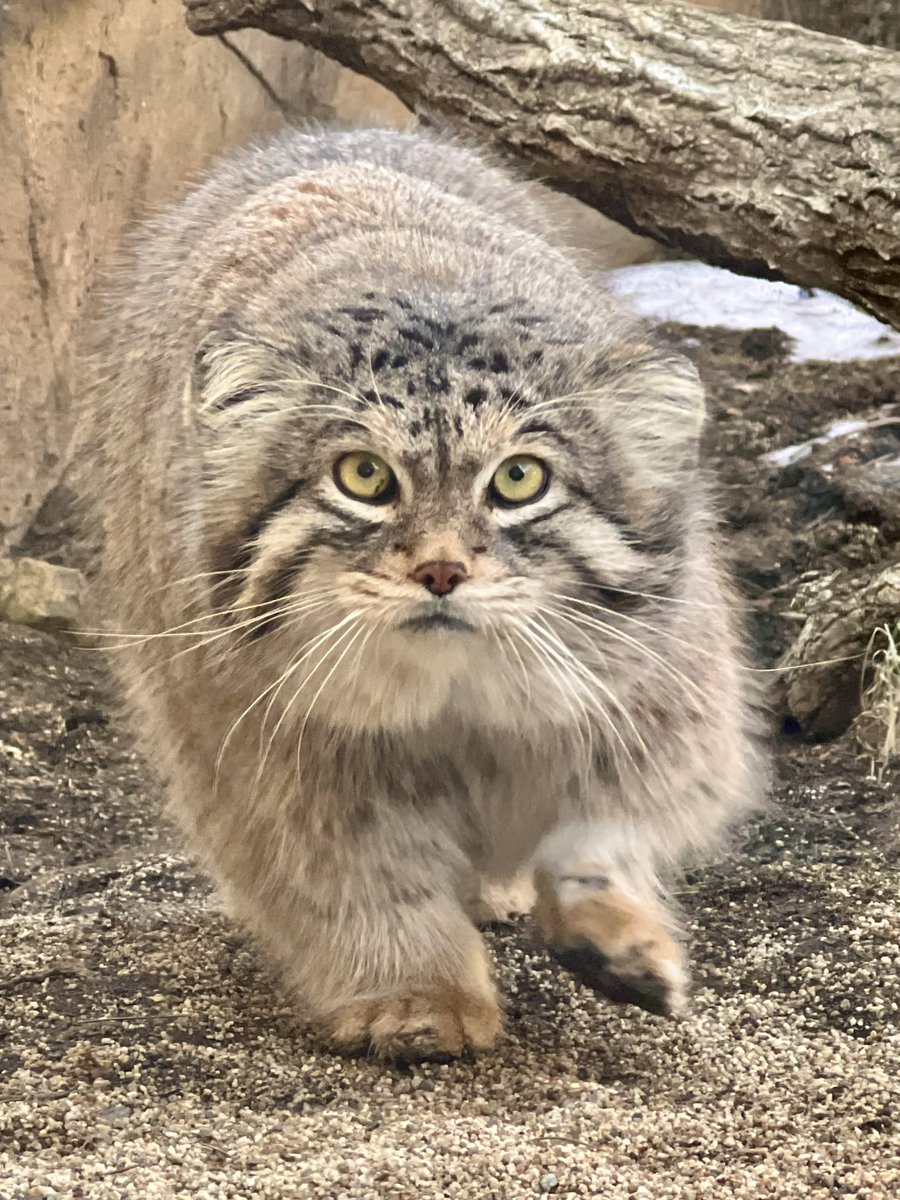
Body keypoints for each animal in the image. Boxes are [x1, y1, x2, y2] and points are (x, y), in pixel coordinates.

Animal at [79, 127, 766, 1058]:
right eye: (364, 477)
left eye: (519, 479)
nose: (441, 571)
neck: (454, 703)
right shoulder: (272, 758)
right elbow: (366, 882)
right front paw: (417, 992)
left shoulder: (665, 703)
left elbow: (605, 830)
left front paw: (608, 933)